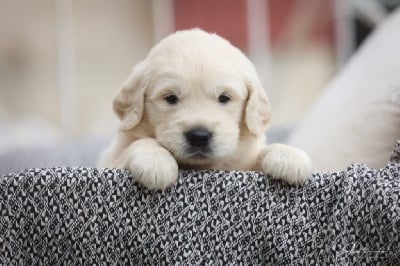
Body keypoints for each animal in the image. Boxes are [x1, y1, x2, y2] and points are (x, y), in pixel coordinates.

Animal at [97, 28, 312, 189]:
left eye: (224, 98)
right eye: (170, 98)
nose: (199, 136)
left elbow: (258, 155)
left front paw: (287, 155)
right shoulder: (112, 160)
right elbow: (138, 143)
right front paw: (155, 160)